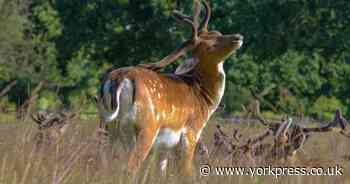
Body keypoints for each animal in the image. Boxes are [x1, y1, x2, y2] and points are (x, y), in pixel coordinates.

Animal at [95, 0, 243, 175]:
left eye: (218, 33)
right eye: (209, 46)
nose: (238, 37)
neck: (203, 99)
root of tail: (117, 79)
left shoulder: (164, 148)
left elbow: (162, 172)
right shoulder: (191, 132)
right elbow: (186, 172)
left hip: (108, 129)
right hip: (145, 128)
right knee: (130, 167)